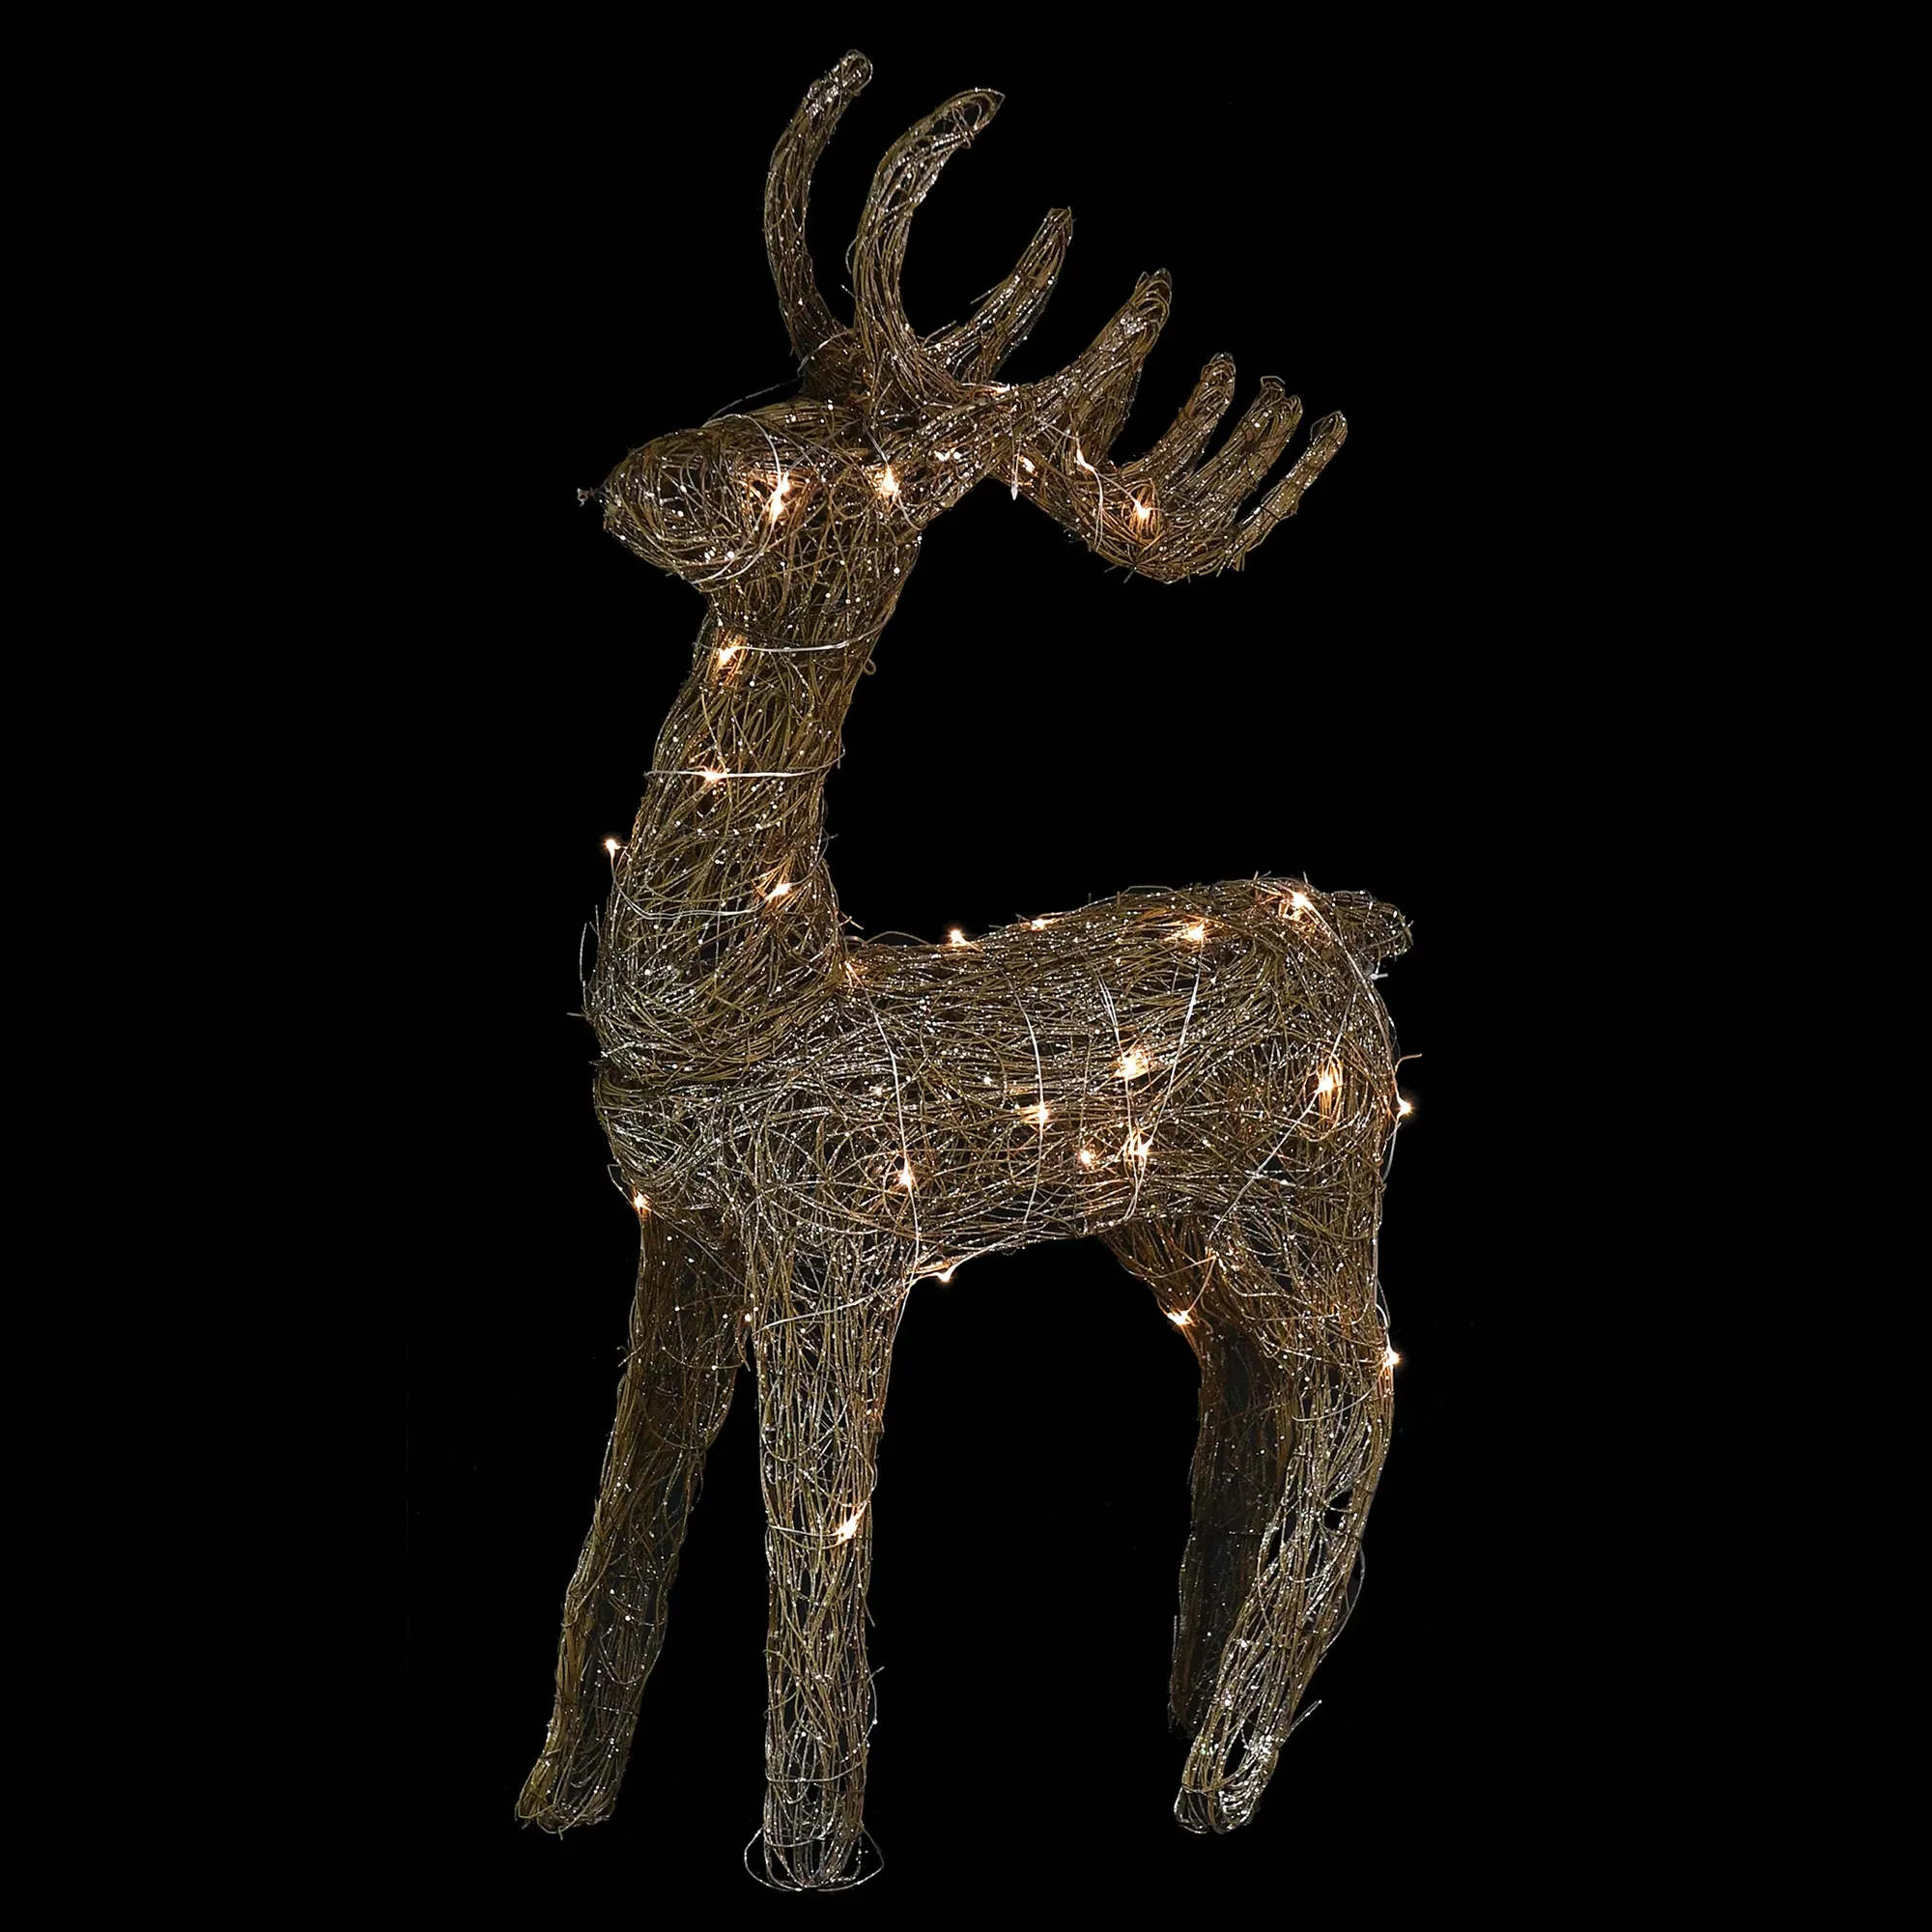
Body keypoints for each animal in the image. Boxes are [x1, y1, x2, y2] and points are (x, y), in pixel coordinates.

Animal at [515, 53, 1412, 1890]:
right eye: (777, 393)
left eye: (844, 455)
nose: (647, 479)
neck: (757, 982)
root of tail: (1347, 930)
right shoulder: (677, 1230)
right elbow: (625, 1515)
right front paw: (561, 1800)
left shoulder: (837, 1241)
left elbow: (811, 1535)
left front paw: (807, 1843)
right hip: (1177, 1222)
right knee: (1254, 1384)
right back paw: (1195, 1693)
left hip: (1312, 1193)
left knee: (1362, 1383)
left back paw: (1223, 1773)